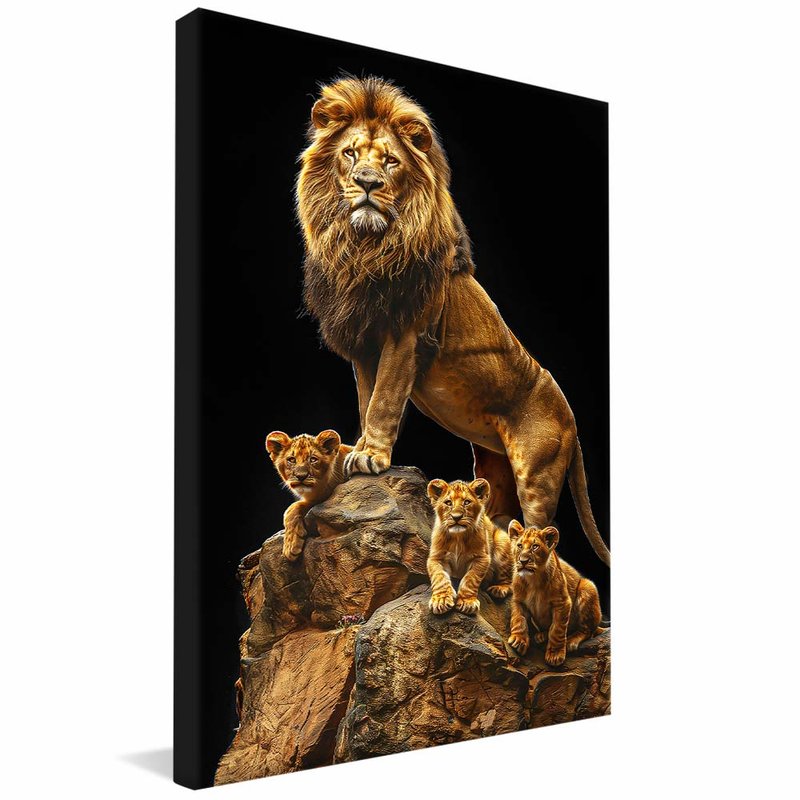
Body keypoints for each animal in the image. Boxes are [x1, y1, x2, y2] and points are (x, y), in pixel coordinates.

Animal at [296, 75, 610, 567]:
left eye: (390, 160)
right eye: (350, 153)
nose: (367, 183)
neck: (366, 247)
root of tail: (573, 423)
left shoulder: (407, 334)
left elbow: (384, 399)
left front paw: (370, 456)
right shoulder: (364, 339)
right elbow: (367, 398)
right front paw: (358, 450)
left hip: (537, 474)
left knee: (542, 531)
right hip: (494, 470)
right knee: (499, 521)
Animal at [426, 478, 513, 615]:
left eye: (466, 502)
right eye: (448, 503)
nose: (456, 517)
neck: (457, 537)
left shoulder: (482, 558)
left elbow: (470, 579)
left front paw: (467, 602)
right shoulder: (436, 558)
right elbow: (439, 578)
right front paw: (441, 600)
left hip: (502, 539)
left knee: (509, 582)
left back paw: (499, 589)